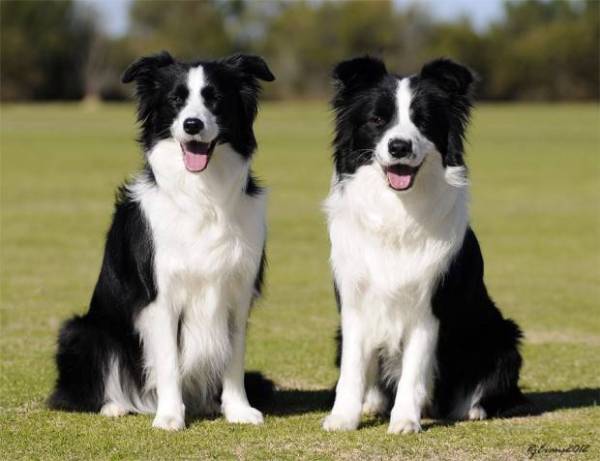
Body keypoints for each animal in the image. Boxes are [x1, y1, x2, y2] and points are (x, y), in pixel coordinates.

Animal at [49, 52, 274, 430]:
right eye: (175, 100)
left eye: (214, 98)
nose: (193, 125)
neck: (203, 194)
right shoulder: (160, 296)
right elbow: (169, 360)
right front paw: (169, 416)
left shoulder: (238, 292)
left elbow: (233, 359)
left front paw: (238, 410)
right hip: (82, 332)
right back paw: (115, 406)